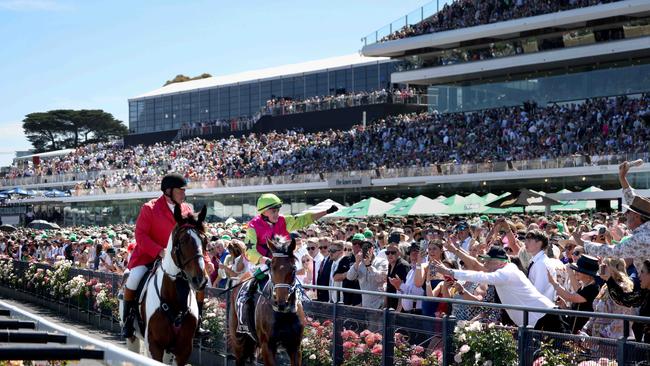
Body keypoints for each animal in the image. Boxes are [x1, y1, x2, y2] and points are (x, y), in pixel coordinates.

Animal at [125, 204, 206, 364]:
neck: (176, 300)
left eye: (205, 241)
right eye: (183, 241)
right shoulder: (154, 345)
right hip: (132, 337)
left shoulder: (184, 349)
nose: (199, 280)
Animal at [229, 236, 306, 366]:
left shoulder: (295, 346)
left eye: (293, 269)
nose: (281, 303)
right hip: (238, 338)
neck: (284, 314)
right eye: (272, 268)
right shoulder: (267, 346)